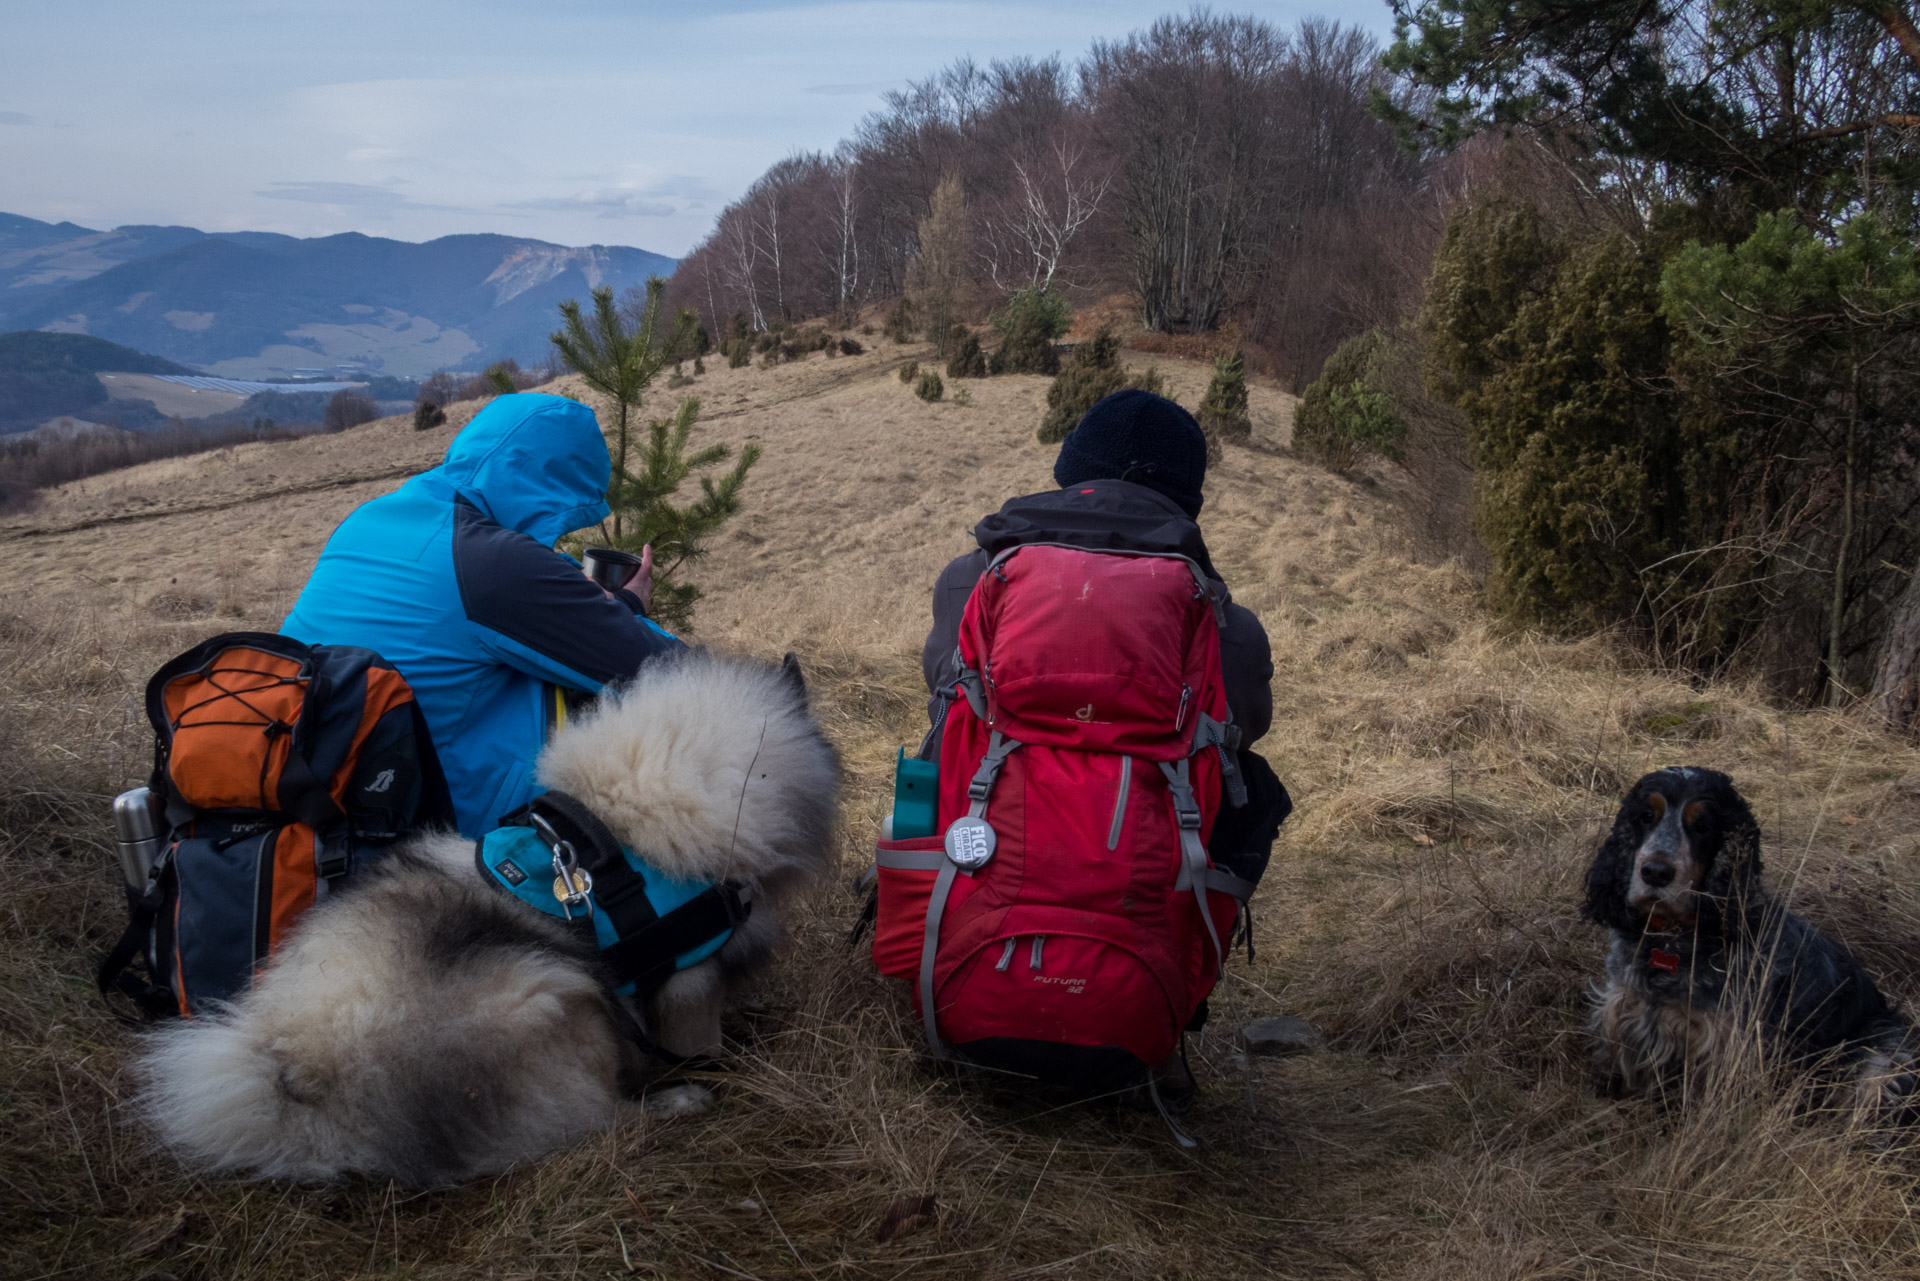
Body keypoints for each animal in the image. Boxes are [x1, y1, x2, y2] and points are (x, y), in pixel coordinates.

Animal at [139, 656, 844, 1190]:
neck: (634, 814)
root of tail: (309, 1085)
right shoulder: (690, 979)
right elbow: (704, 1039)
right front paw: (723, 1065)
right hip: (558, 996)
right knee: (595, 1123)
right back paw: (676, 1103)